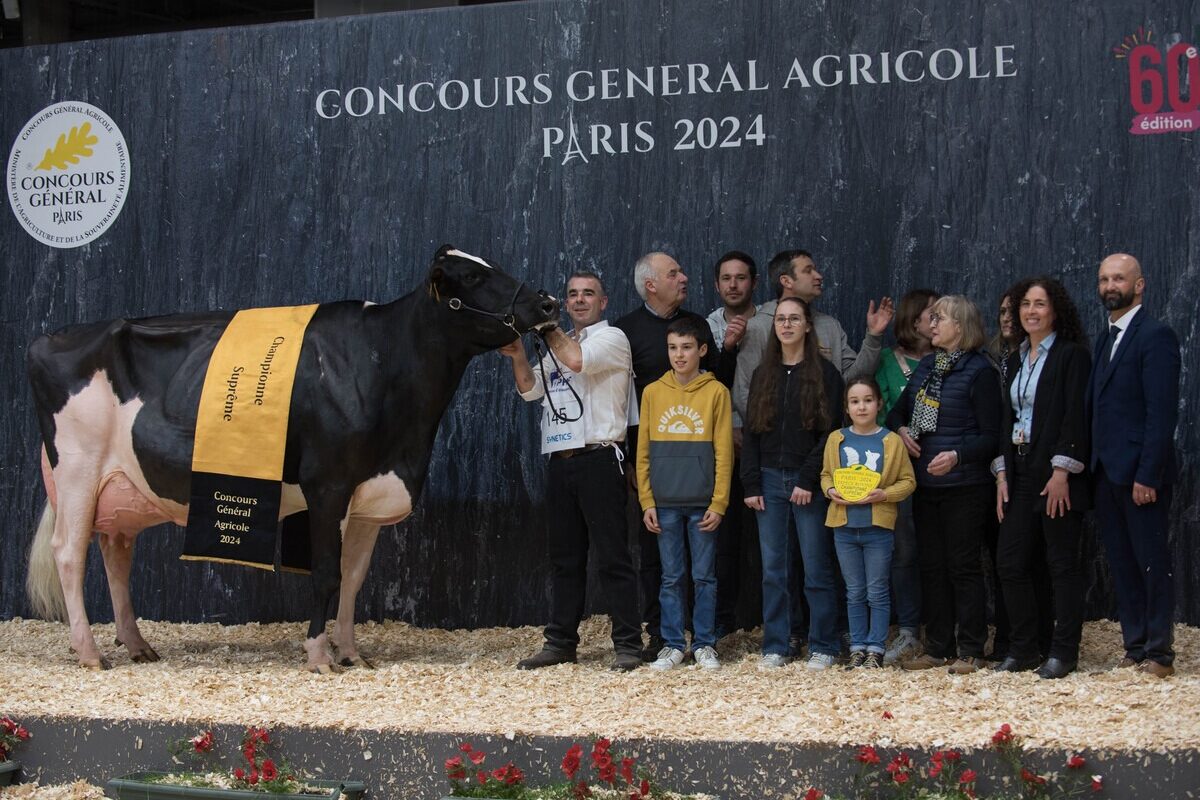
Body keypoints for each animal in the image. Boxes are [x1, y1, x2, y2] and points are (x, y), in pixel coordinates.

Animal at [23, 247, 556, 671]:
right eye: (474, 279)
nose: (546, 302)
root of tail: (51, 337)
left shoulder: (369, 493)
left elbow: (353, 578)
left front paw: (352, 652)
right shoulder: (327, 486)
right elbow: (325, 574)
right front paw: (319, 656)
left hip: (120, 488)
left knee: (116, 553)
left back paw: (136, 644)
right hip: (77, 468)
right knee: (70, 552)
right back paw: (90, 652)